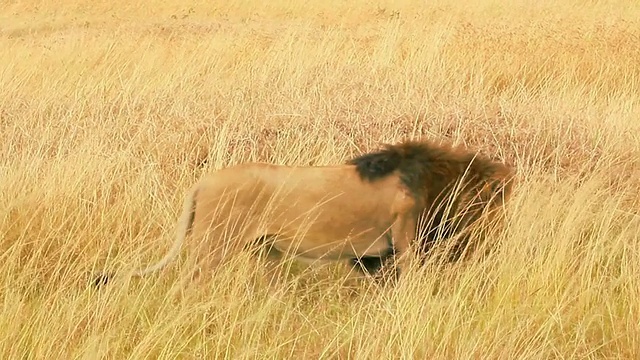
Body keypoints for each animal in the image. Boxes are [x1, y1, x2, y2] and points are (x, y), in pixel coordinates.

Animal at [94, 138, 516, 286]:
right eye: (493, 202)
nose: (497, 237)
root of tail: (201, 182)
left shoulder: (377, 256)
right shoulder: (404, 243)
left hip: (265, 249)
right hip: (214, 246)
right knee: (187, 286)